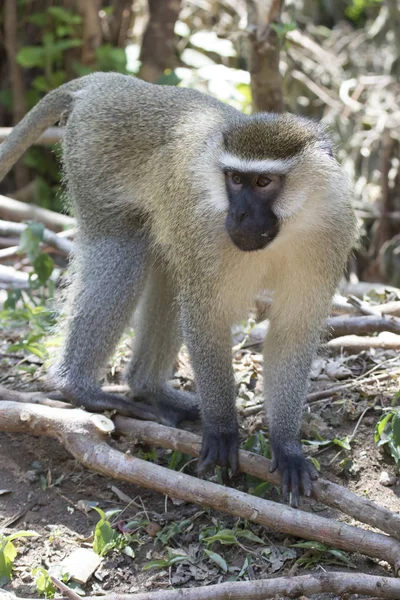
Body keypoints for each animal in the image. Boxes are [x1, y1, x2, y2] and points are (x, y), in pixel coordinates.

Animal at [0, 74, 356, 506]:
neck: (292, 224)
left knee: (166, 269)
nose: (238, 214)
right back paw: (81, 389)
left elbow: (294, 332)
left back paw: (147, 386)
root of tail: (109, 82)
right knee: (124, 248)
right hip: (92, 162)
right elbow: (205, 318)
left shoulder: (331, 232)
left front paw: (286, 445)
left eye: (263, 181)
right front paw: (222, 428)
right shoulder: (207, 232)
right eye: (235, 179)